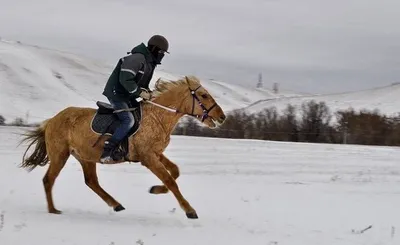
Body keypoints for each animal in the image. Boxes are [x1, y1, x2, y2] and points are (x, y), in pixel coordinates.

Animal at [18, 75, 227, 219]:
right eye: (203, 95)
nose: (222, 116)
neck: (157, 117)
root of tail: (52, 120)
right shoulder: (148, 157)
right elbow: (170, 180)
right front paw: (190, 210)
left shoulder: (156, 153)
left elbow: (175, 172)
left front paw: (155, 189)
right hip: (60, 154)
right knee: (49, 180)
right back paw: (53, 210)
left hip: (86, 156)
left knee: (91, 182)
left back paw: (116, 204)